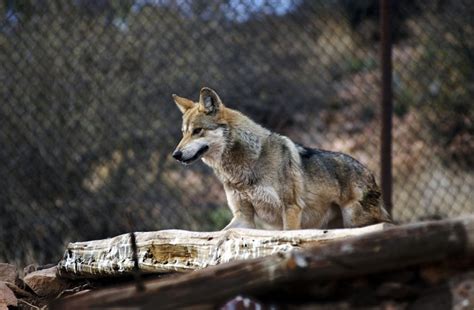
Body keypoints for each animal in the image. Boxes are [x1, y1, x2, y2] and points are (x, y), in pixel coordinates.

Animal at [172, 87, 390, 230]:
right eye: (183, 133)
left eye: (197, 131)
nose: (176, 155)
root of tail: (369, 173)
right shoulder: (243, 216)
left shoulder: (291, 209)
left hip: (355, 219)